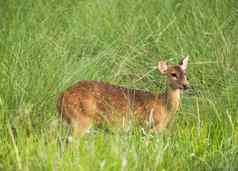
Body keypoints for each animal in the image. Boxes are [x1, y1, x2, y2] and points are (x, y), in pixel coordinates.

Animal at [56, 56, 190, 136]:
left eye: (185, 74)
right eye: (173, 74)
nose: (186, 85)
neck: (165, 107)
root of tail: (61, 97)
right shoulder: (150, 127)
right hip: (81, 119)